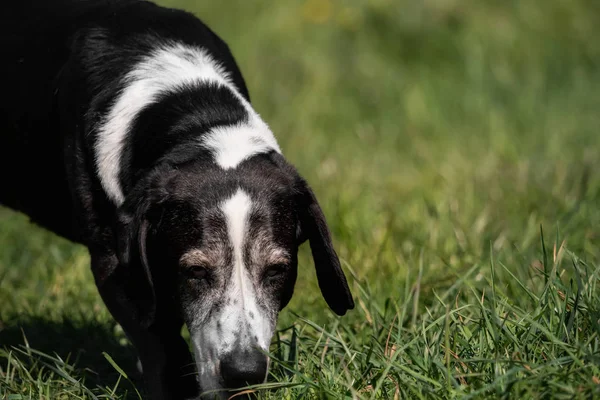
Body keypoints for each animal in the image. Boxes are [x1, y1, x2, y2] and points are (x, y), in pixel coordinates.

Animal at [0, 0, 354, 398]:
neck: (194, 112)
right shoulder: (115, 263)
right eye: (195, 271)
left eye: (278, 270)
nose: (244, 372)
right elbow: (160, 340)